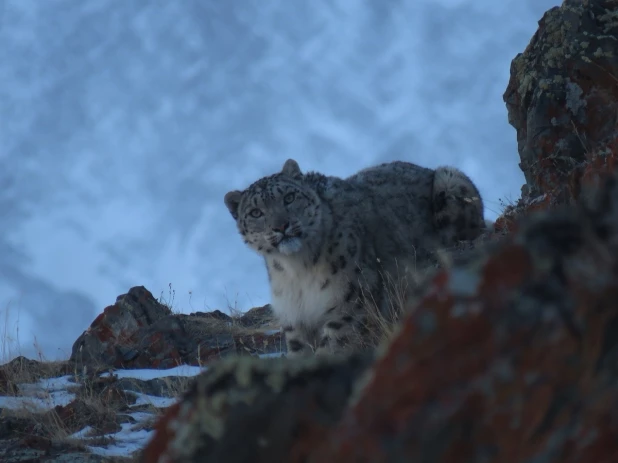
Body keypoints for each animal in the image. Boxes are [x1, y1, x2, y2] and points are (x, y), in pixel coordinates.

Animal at [224, 158, 484, 358]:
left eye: (288, 197)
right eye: (256, 212)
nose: (281, 226)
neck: (297, 270)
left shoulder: (350, 303)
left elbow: (331, 348)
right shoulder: (294, 318)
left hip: (450, 180)